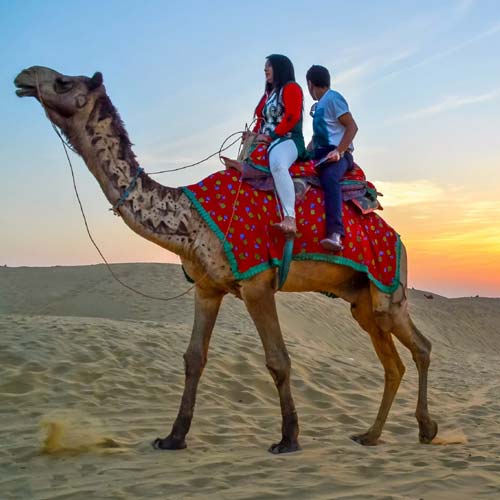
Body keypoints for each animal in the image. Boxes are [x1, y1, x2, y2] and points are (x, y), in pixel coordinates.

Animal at [14, 65, 438, 454]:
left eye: (64, 82)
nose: (23, 76)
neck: (190, 218)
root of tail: (398, 238)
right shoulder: (207, 287)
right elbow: (193, 358)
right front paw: (173, 437)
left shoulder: (256, 282)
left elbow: (278, 359)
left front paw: (288, 439)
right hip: (361, 299)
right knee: (393, 362)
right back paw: (371, 434)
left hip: (388, 287)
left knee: (420, 347)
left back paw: (426, 429)